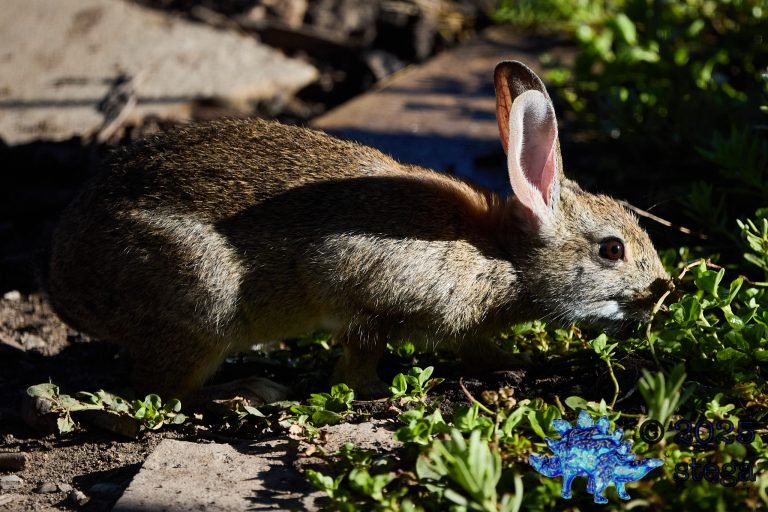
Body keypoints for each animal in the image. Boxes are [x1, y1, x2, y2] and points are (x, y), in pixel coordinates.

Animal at [45, 61, 672, 402]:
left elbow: (476, 346)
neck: (502, 255)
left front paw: (517, 363)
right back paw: (246, 393)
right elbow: (362, 344)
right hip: (201, 300)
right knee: (162, 388)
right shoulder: (366, 287)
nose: (662, 290)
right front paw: (368, 390)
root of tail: (64, 287)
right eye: (612, 250)